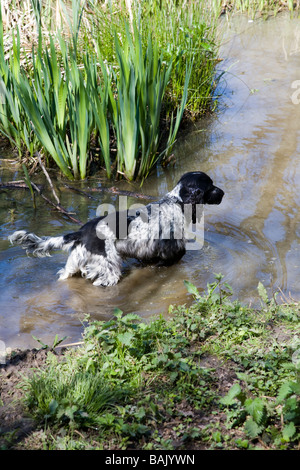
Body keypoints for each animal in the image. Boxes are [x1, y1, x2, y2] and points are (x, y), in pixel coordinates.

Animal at [8, 172, 224, 286]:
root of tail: (81, 232)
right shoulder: (172, 248)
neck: (176, 201)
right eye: (211, 186)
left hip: (73, 265)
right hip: (108, 269)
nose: (223, 192)